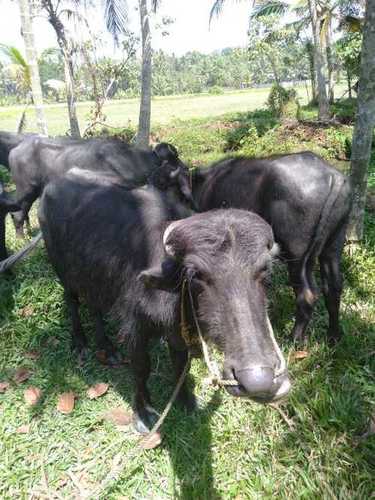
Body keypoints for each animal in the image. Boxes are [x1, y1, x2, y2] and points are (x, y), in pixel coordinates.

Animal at [0, 132, 194, 235]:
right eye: (175, 160)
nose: (187, 168)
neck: (131, 160)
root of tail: (16, 149)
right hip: (26, 190)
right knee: (17, 214)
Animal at [39, 172, 290, 434]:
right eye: (195, 274)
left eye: (265, 269)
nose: (258, 379)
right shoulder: (134, 328)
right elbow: (141, 367)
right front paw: (143, 412)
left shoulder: (177, 331)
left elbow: (180, 364)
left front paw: (184, 399)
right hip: (63, 272)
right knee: (73, 302)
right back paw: (80, 342)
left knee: (95, 306)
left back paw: (107, 347)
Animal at [194, 150, 352, 342]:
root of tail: (333, 176)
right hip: (334, 245)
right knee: (333, 287)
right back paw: (333, 336)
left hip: (298, 255)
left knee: (306, 294)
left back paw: (294, 339)